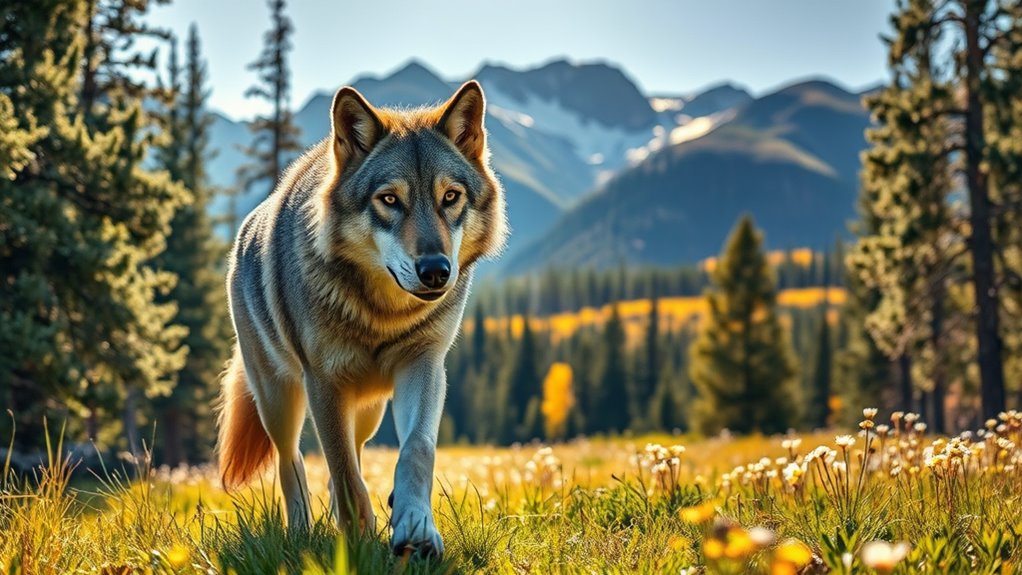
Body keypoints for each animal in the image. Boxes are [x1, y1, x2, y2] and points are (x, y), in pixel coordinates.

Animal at [216, 80, 507, 557]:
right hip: (279, 400)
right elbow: (342, 471)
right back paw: (302, 531)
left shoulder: (425, 364)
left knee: (353, 452)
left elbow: (416, 450)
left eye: (450, 197)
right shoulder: (323, 382)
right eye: (389, 199)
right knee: (292, 462)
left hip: (367, 409)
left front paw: (415, 527)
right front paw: (357, 542)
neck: (384, 315)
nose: (436, 270)